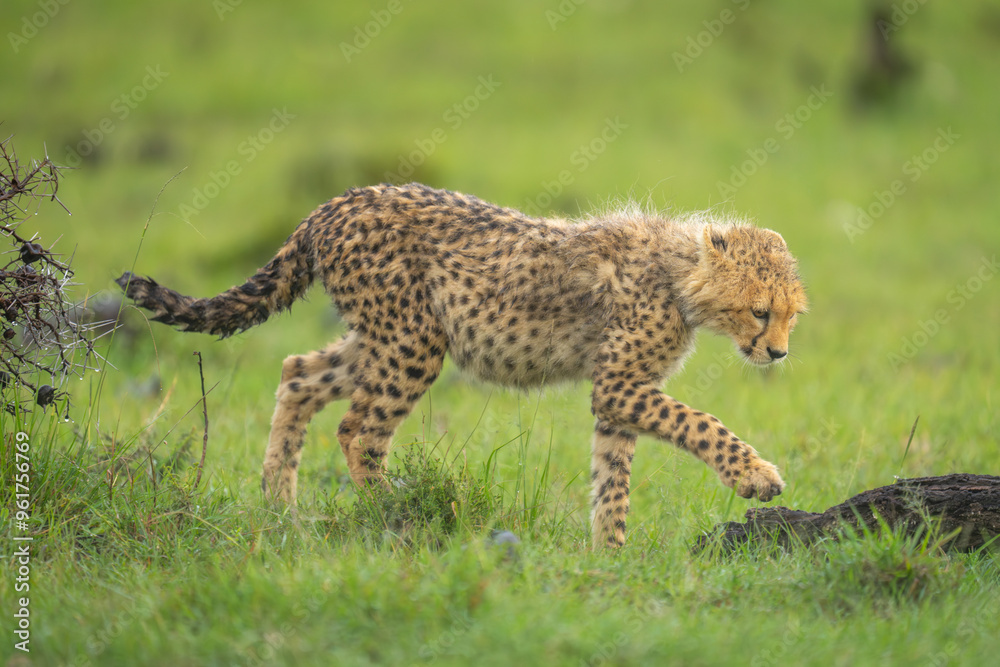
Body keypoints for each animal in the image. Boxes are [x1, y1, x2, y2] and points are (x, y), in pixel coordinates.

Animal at [117, 182, 808, 548]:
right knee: (358, 430)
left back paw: (279, 505)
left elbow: (613, 477)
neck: (680, 273)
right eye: (760, 311)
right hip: (413, 340)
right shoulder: (618, 385)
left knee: (297, 373)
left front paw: (609, 555)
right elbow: (700, 423)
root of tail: (334, 202)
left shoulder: (622, 394)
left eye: (791, 316)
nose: (778, 353)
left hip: (384, 336)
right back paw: (398, 514)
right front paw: (756, 477)